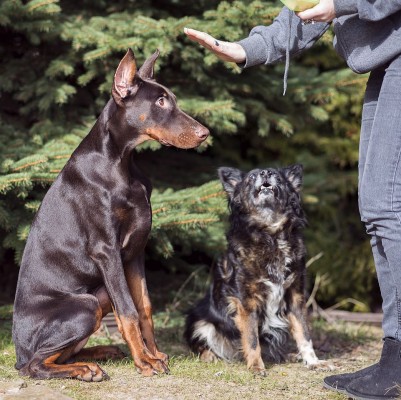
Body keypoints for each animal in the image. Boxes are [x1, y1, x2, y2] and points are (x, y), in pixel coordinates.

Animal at [11, 49, 209, 382]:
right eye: (160, 102)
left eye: (172, 98)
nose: (204, 134)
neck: (122, 162)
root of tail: (17, 352)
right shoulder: (107, 251)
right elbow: (128, 310)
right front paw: (145, 362)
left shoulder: (136, 251)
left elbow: (144, 307)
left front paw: (153, 354)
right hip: (86, 304)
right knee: (35, 365)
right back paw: (85, 369)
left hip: (99, 294)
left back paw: (101, 353)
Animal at [184, 163, 328, 376]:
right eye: (251, 177)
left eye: (277, 175)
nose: (265, 173)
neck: (271, 234)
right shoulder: (246, 301)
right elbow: (252, 339)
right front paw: (255, 366)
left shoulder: (295, 296)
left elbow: (304, 333)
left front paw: (313, 361)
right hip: (200, 321)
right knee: (203, 344)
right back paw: (210, 356)